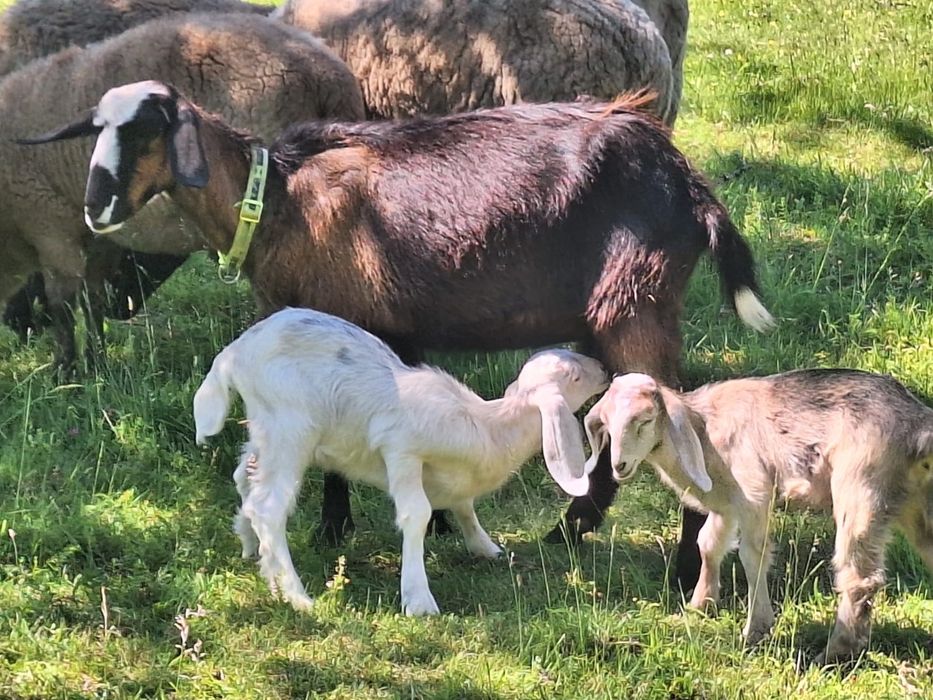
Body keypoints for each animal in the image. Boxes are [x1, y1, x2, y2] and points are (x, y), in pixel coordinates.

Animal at [193, 306, 609, 614]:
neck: (488, 424)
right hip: (289, 426)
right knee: (269, 507)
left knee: (245, 477)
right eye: (573, 376)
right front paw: (418, 599)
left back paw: (251, 546)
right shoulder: (402, 450)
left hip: (264, 427)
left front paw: (485, 547)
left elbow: (464, 505)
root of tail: (235, 353)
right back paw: (296, 594)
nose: (605, 369)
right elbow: (416, 514)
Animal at [583, 370, 933, 662]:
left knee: (858, 578)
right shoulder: (727, 502)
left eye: (645, 420)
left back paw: (834, 653)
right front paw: (701, 604)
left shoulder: (753, 491)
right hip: (915, 505)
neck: (704, 429)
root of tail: (918, 426)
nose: (619, 466)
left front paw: (755, 629)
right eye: (607, 424)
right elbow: (708, 544)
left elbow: (753, 557)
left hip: (859, 488)